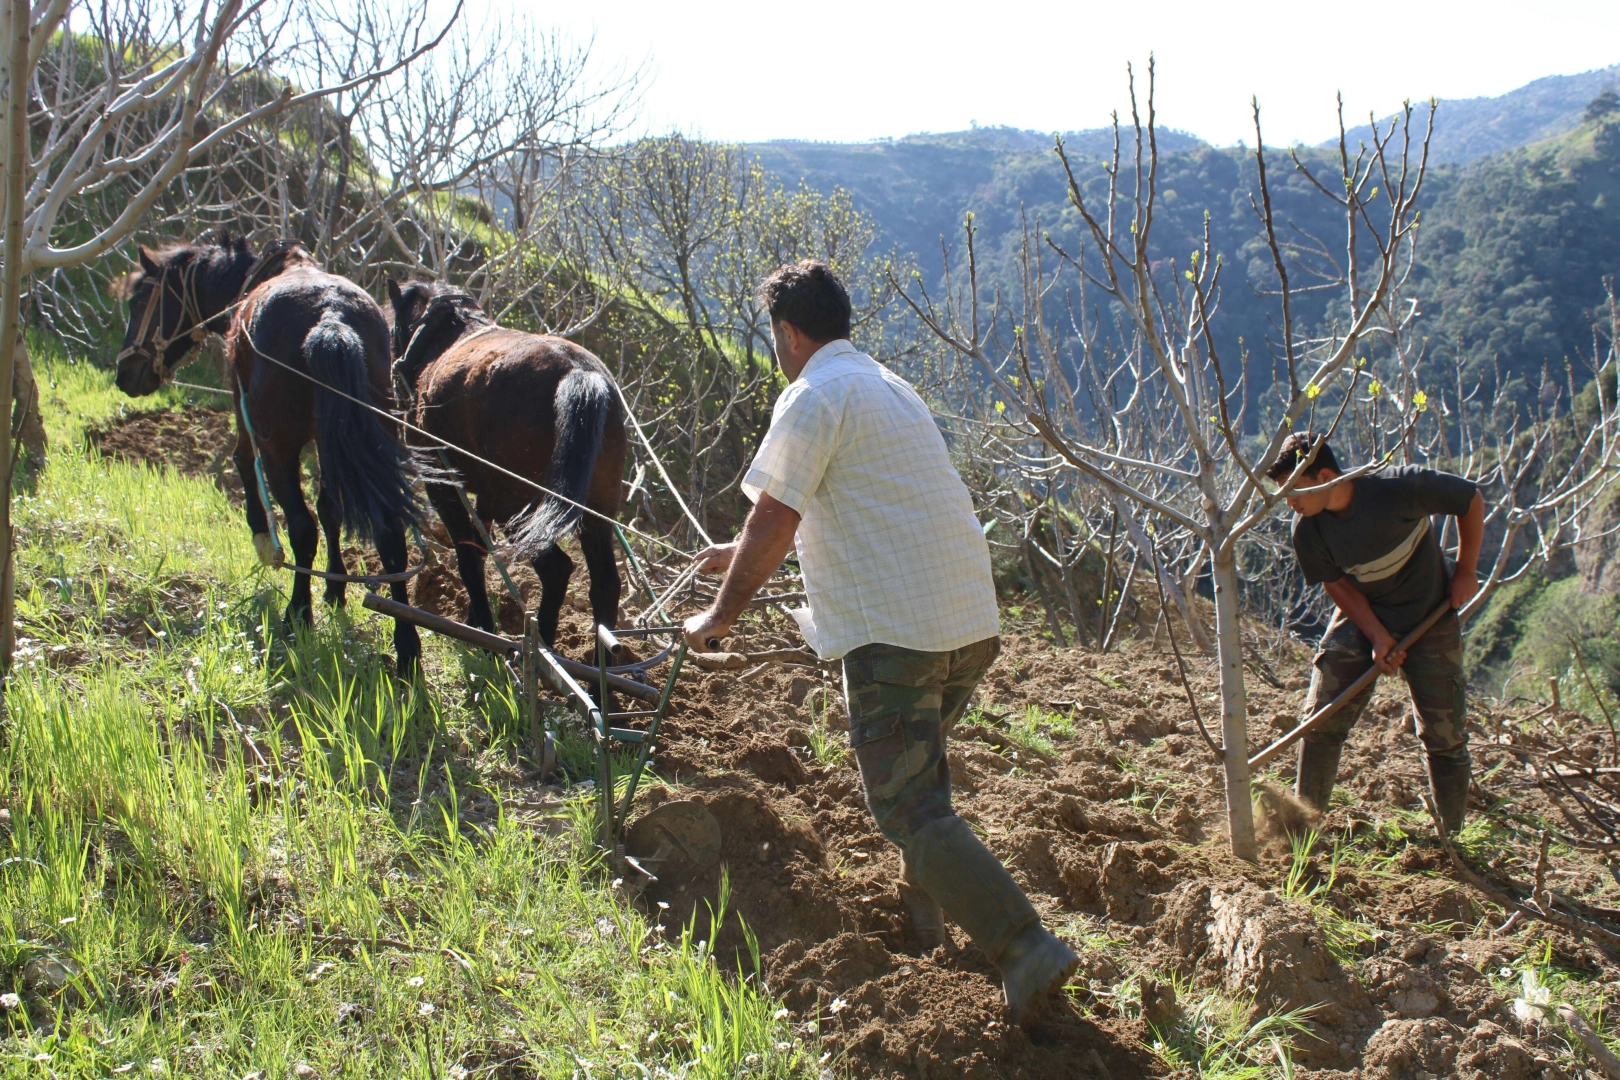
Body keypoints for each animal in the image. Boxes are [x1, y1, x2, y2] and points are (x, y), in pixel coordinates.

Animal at [118, 234, 427, 670]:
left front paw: (262, 535)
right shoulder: (328, 440)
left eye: (140, 300)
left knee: (301, 527)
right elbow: (331, 510)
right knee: (388, 535)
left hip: (279, 445)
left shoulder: (244, 409)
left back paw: (297, 614)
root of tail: (330, 318)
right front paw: (336, 590)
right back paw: (406, 647)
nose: (124, 373)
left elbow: (243, 462)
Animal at [385, 281, 625, 650]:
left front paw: (481, 627)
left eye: (393, 330)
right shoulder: (485, 495)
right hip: (596, 512)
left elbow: (468, 553)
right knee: (605, 585)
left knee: (556, 569)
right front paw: (475, 619)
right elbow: (480, 547)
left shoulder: (443, 484)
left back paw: (539, 643)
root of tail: (580, 375)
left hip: (517, 508)